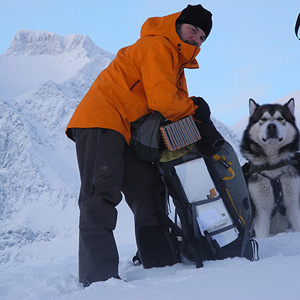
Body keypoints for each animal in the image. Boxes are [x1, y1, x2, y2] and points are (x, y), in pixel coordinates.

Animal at [240, 98, 300, 239]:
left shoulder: (293, 204)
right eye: (263, 119)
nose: (271, 126)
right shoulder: (260, 210)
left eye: (280, 118)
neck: (273, 167)